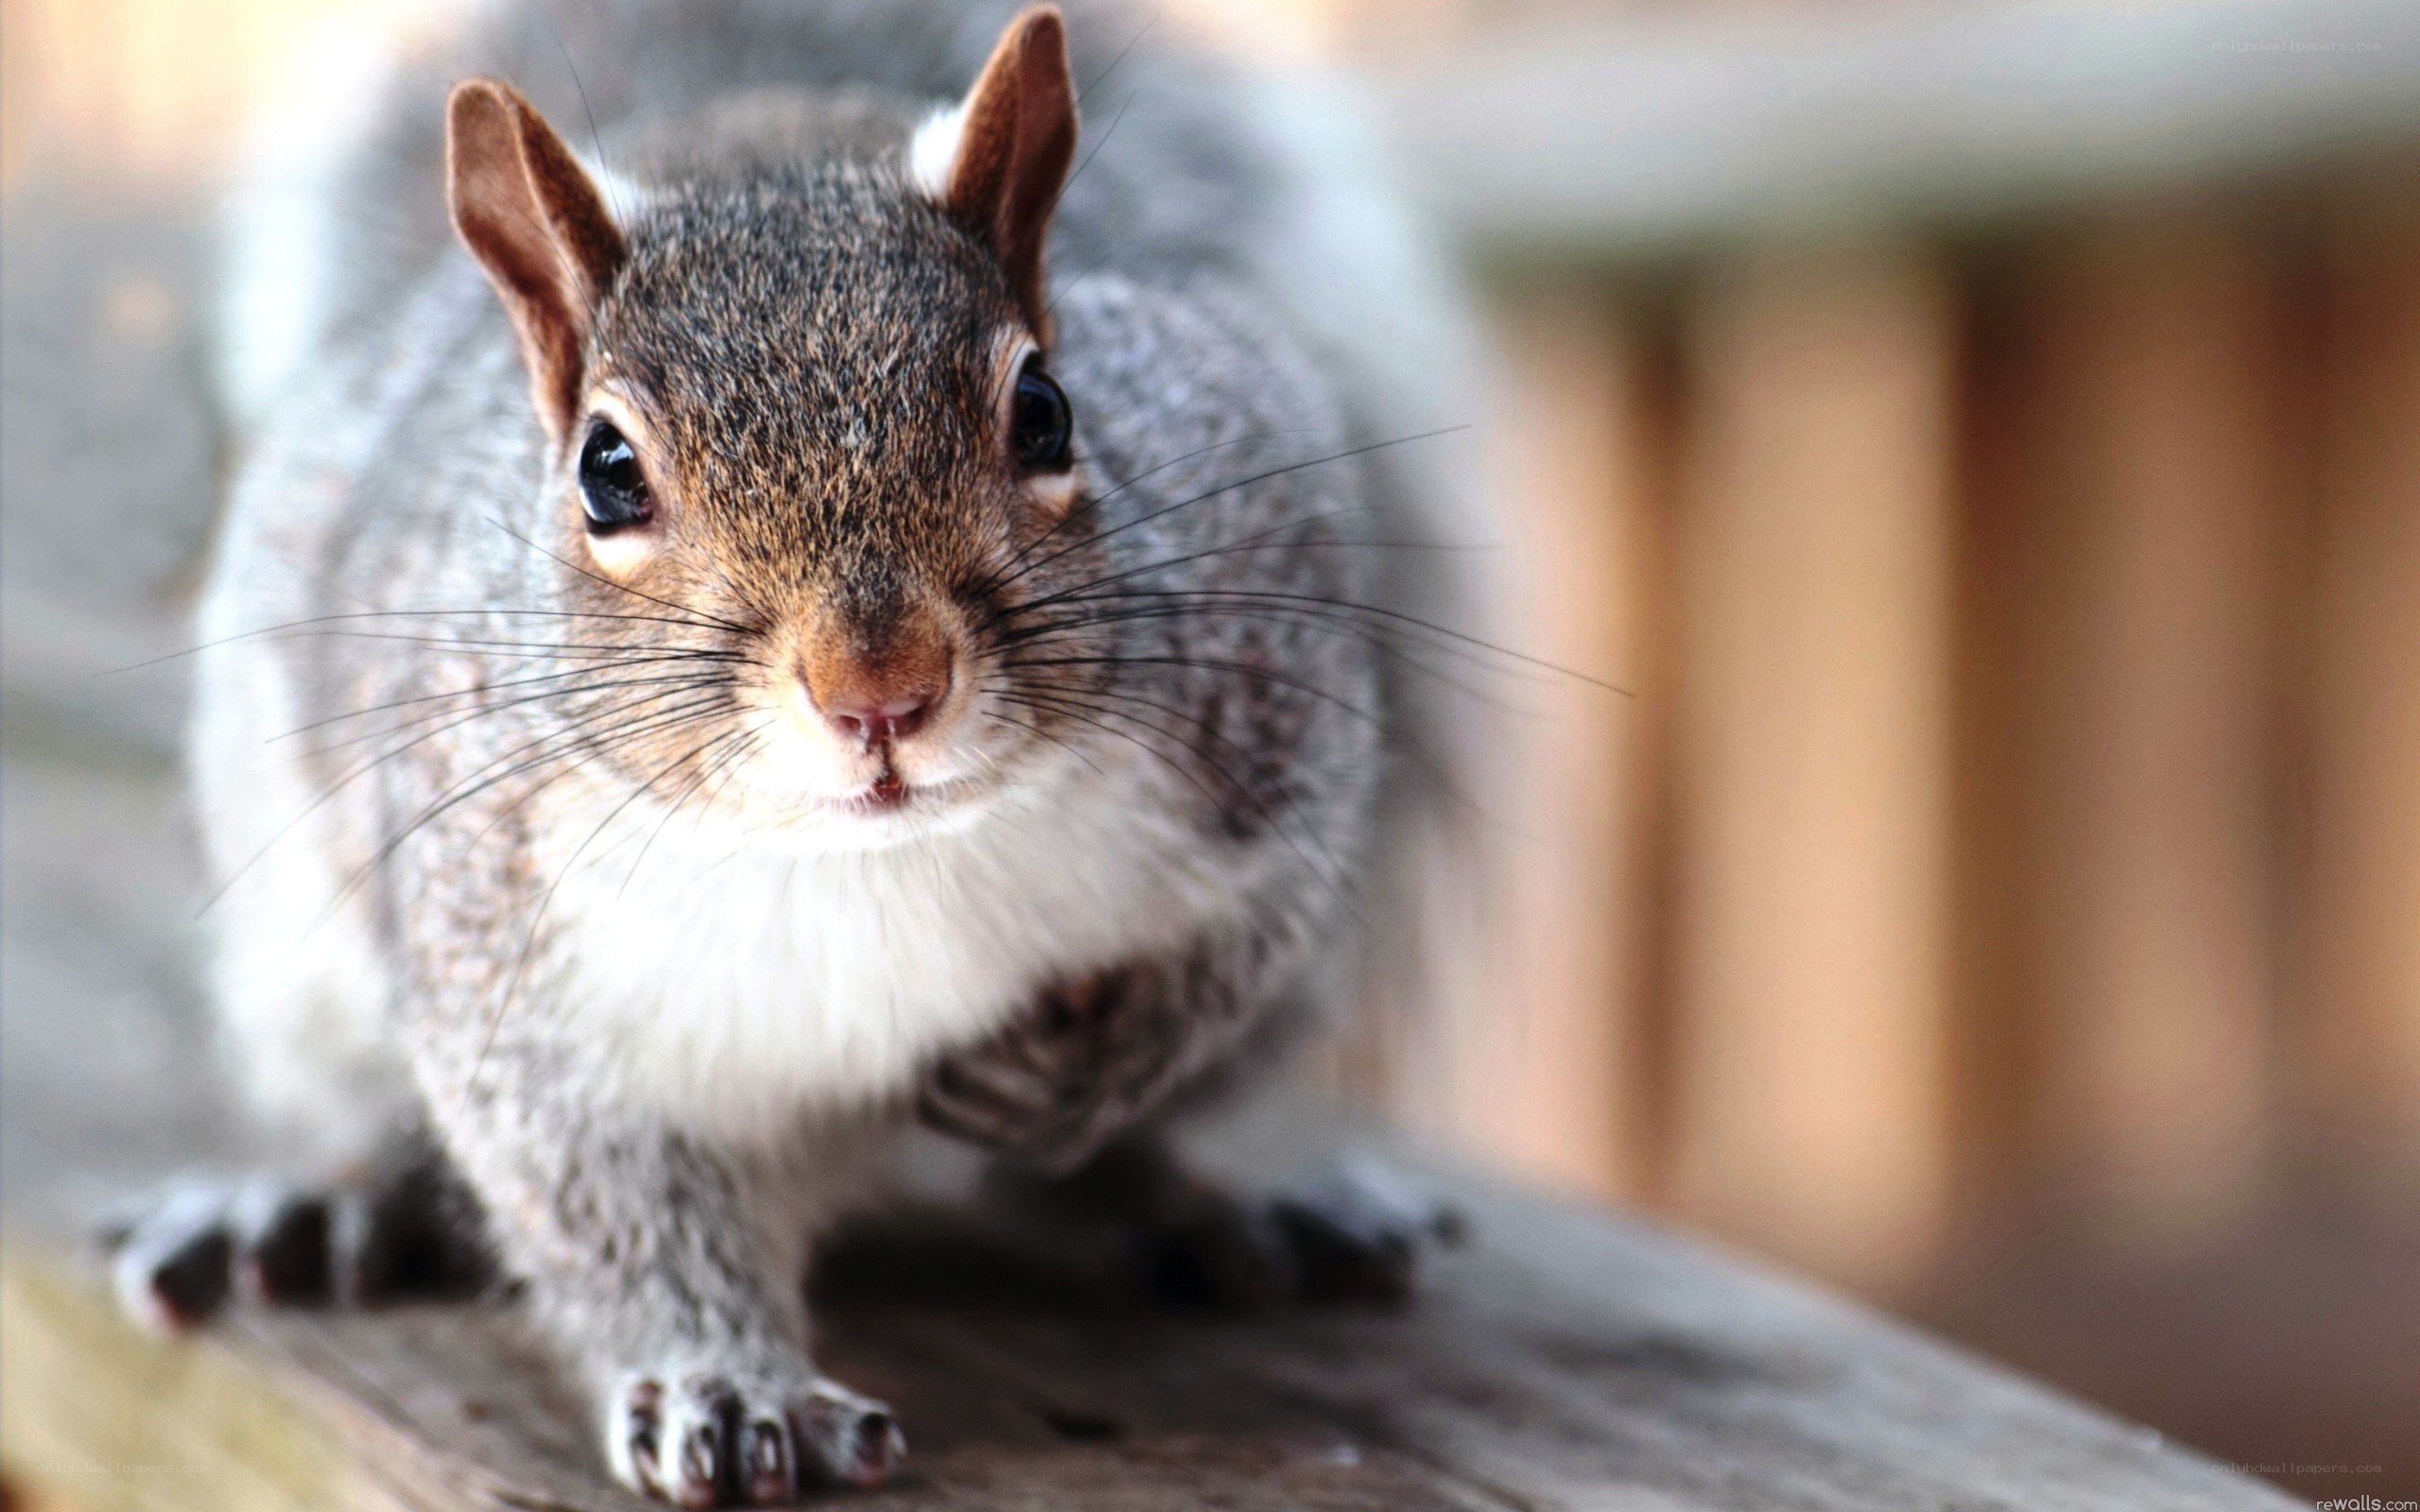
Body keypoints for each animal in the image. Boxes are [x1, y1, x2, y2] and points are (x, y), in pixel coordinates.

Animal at [112, 0, 1480, 1502]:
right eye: (605, 471)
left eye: (1048, 409)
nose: (880, 690)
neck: (877, 857)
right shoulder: (515, 961)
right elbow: (605, 1203)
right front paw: (722, 1386)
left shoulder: (1272, 722)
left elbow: (1241, 948)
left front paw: (1079, 1062)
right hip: (295, 951)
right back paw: (321, 1204)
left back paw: (1230, 1209)